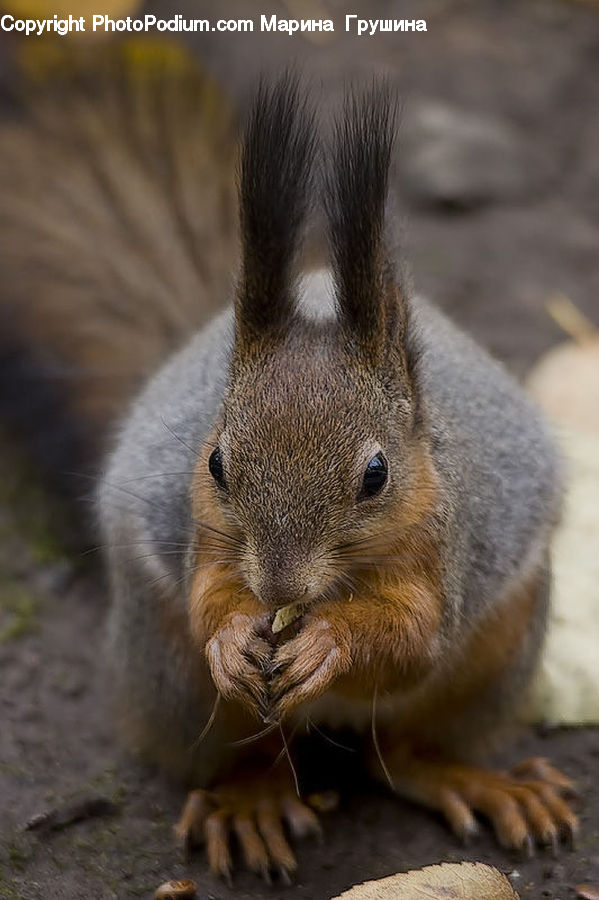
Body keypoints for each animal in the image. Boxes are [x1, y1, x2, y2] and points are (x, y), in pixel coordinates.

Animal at [0, 48, 578, 884]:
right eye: (215, 462)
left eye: (375, 475)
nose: (275, 588)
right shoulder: (208, 537)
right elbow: (208, 596)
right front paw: (230, 636)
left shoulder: (443, 551)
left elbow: (411, 638)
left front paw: (331, 640)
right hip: (166, 670)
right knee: (249, 755)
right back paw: (250, 802)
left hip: (497, 652)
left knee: (404, 753)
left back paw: (479, 781)